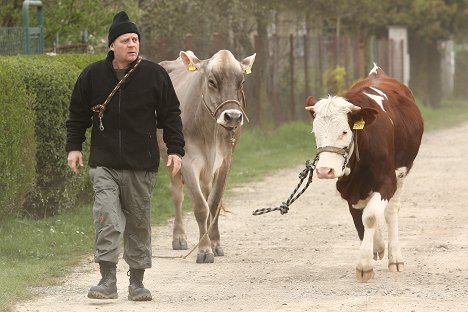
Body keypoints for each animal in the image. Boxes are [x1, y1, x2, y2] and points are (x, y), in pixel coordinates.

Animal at [158, 49, 254, 264]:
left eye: (242, 81)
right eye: (211, 81)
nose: (233, 117)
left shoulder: (226, 161)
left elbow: (214, 202)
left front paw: (215, 243)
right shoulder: (187, 161)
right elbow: (201, 206)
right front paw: (204, 249)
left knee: (206, 192)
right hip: (169, 159)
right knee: (177, 194)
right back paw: (179, 237)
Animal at [306, 64, 426, 282]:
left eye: (345, 132)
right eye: (315, 133)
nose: (325, 170)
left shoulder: (387, 181)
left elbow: (370, 216)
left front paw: (364, 265)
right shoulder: (348, 188)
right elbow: (359, 219)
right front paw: (374, 248)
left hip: (402, 173)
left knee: (391, 211)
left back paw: (395, 258)